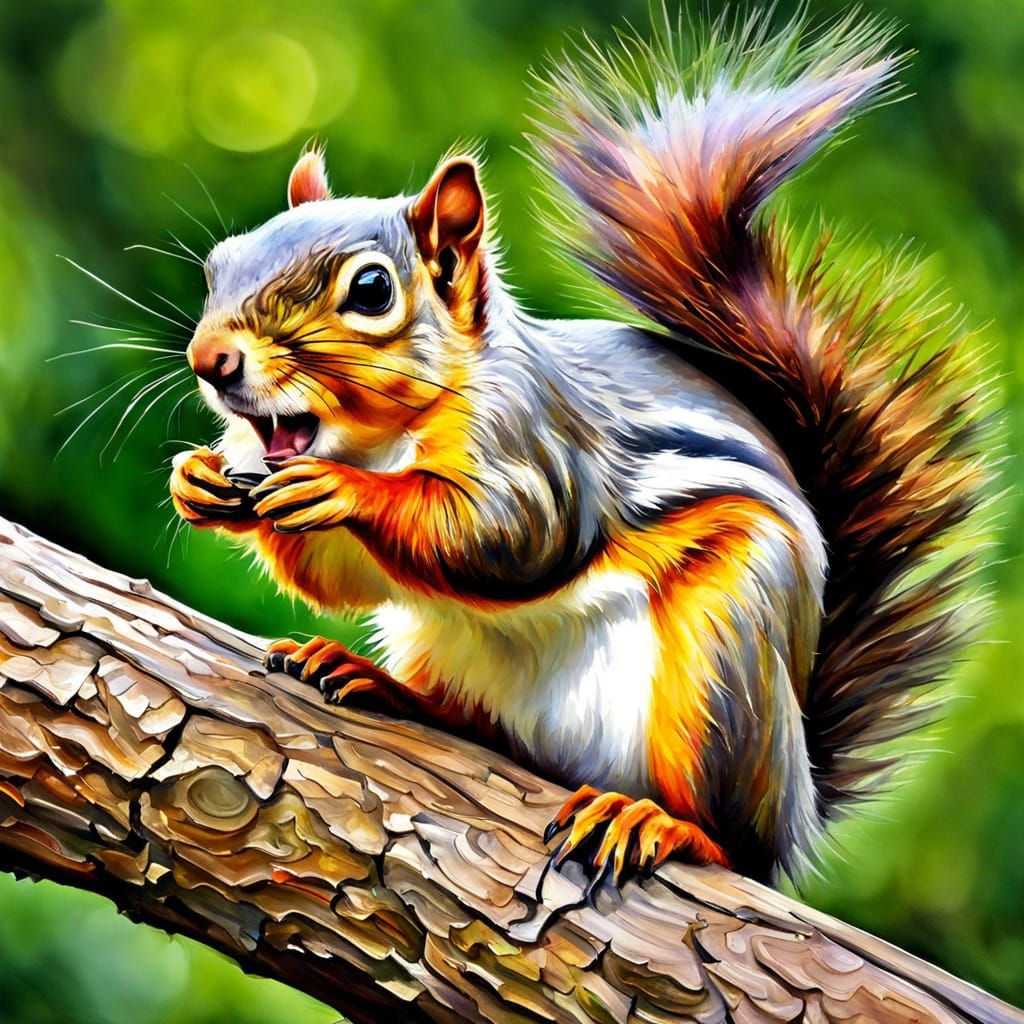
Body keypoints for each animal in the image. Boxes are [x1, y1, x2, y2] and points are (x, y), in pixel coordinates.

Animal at [168, 10, 989, 884]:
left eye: (371, 290)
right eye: (219, 265)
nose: (210, 361)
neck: (378, 440)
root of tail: (795, 804)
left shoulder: (539, 446)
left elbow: (509, 538)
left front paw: (341, 491)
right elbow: (338, 580)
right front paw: (198, 480)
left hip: (724, 664)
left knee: (729, 840)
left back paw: (657, 821)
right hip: (446, 649)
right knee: (475, 722)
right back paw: (380, 683)